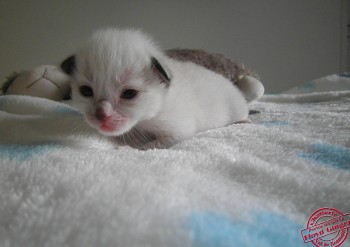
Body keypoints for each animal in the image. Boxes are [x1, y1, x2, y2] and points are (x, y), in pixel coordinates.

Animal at [62, 28, 249, 149]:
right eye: (86, 91)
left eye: (129, 94)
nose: (102, 116)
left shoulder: (178, 130)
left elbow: (150, 146)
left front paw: (129, 148)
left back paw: (243, 121)